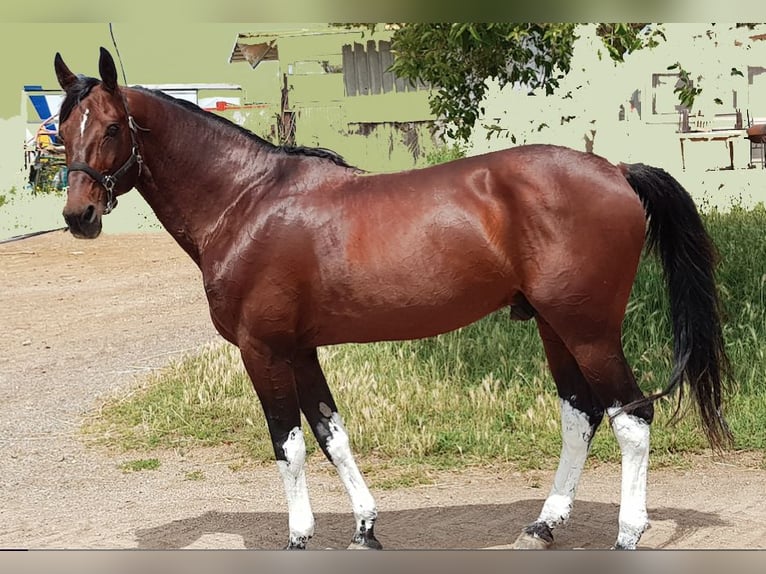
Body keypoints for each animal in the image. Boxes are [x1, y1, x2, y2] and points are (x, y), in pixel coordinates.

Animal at [52, 47, 732, 552]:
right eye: (61, 129)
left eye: (112, 127)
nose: (78, 216)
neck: (246, 201)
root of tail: (616, 170)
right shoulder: (300, 350)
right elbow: (331, 433)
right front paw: (364, 528)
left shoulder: (262, 349)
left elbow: (286, 443)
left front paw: (300, 537)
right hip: (553, 327)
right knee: (581, 415)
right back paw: (543, 525)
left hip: (588, 329)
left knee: (631, 418)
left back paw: (627, 533)